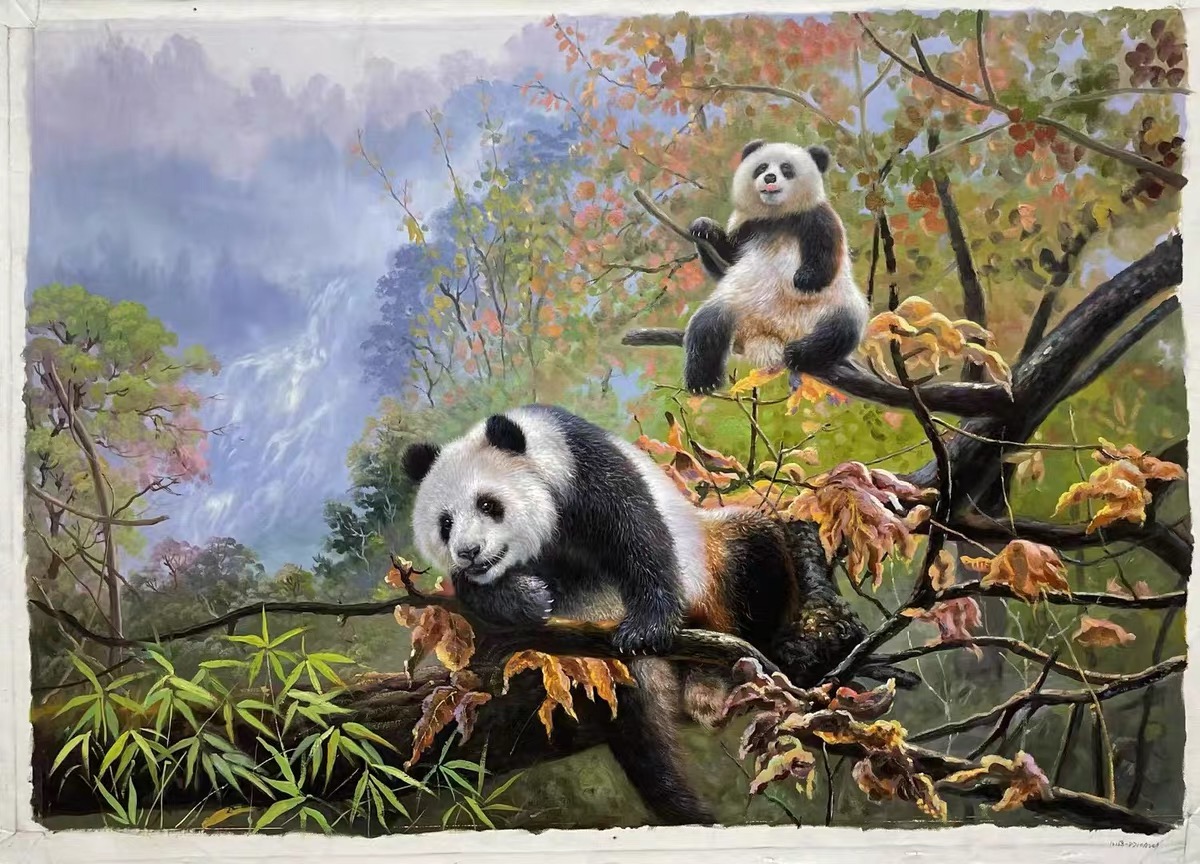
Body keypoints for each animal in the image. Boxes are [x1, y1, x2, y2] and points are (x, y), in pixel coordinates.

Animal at [402, 404, 801, 825]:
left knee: (753, 547)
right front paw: (528, 598)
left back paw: (710, 680)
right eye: (445, 523)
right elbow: (478, 594)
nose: (469, 551)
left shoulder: (587, 469)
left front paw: (645, 629)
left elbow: (637, 535)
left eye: (488, 504)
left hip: (714, 558)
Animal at [683, 138, 870, 395]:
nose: (770, 178)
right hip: (736, 304)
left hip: (834, 306)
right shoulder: (749, 225)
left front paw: (805, 279)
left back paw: (799, 353)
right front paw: (704, 228)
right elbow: (726, 262)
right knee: (706, 327)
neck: (777, 215)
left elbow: (826, 252)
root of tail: (774, 333)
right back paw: (702, 380)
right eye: (761, 167)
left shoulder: (816, 216)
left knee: (840, 331)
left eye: (786, 169)